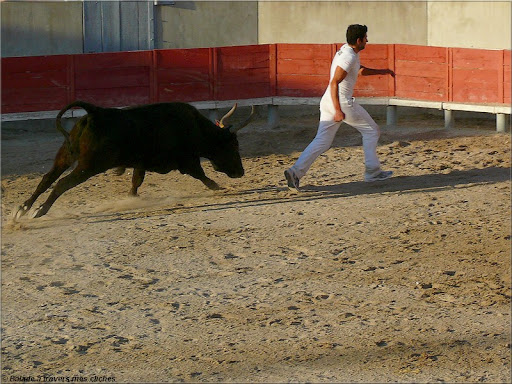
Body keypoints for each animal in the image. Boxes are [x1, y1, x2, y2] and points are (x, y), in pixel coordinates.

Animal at [15, 100, 255, 218]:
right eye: (234, 146)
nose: (240, 172)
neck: (195, 127)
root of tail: (95, 113)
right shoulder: (187, 160)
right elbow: (201, 174)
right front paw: (218, 187)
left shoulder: (142, 163)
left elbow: (136, 181)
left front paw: (131, 197)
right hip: (88, 166)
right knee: (61, 184)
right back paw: (39, 211)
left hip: (66, 156)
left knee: (46, 179)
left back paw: (23, 209)